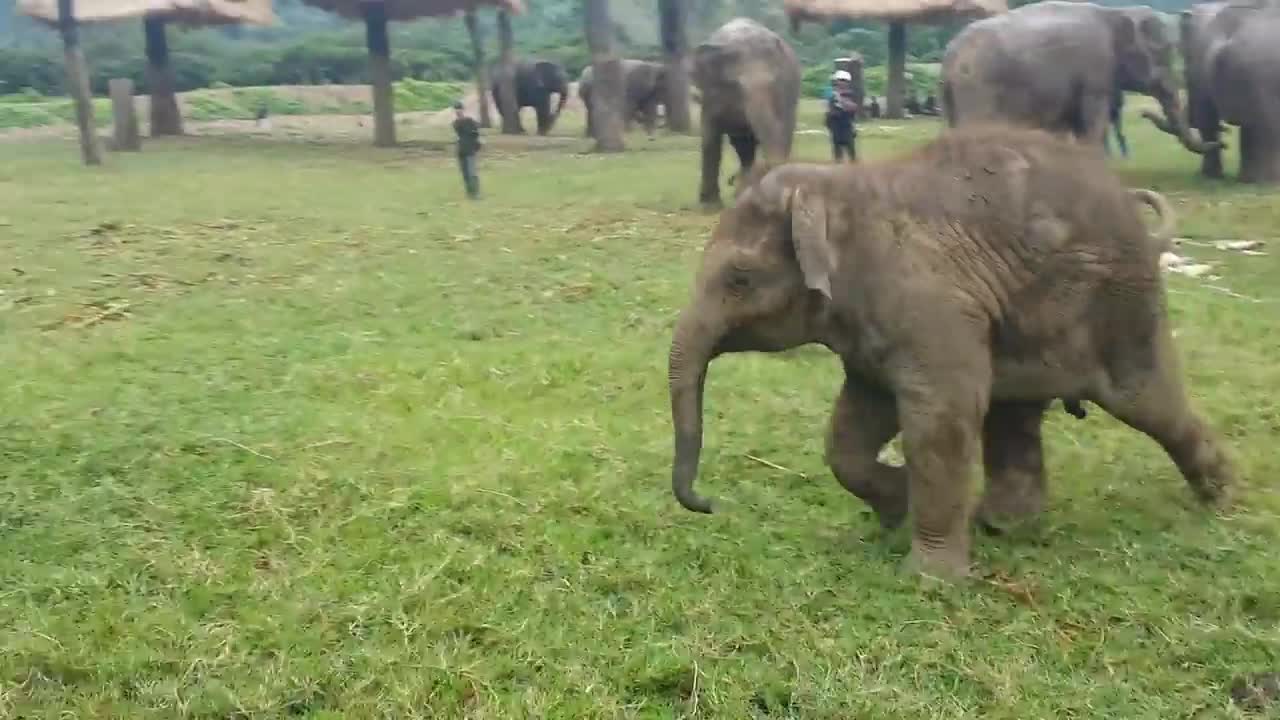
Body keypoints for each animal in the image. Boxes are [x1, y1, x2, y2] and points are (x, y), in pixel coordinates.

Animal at [670, 122, 1239, 576]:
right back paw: (1001, 525)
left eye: (739, 278)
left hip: (1121, 307)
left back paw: (1221, 500)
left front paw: (930, 579)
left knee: (1147, 401)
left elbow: (941, 414)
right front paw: (897, 506)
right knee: (1015, 416)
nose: (709, 504)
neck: (837, 186)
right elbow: (855, 423)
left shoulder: (930, 304)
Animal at [691, 18, 798, 207]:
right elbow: (710, 138)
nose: (731, 179)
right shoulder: (709, 93)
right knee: (743, 146)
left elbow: (782, 131)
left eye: (774, 83)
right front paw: (710, 205)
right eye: (736, 86)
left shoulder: (785, 92)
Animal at [942, 1, 1218, 155]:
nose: (1222, 142)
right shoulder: (1095, 70)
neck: (1114, 12)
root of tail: (950, 57)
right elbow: (1094, 121)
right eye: (1163, 55)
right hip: (978, 89)